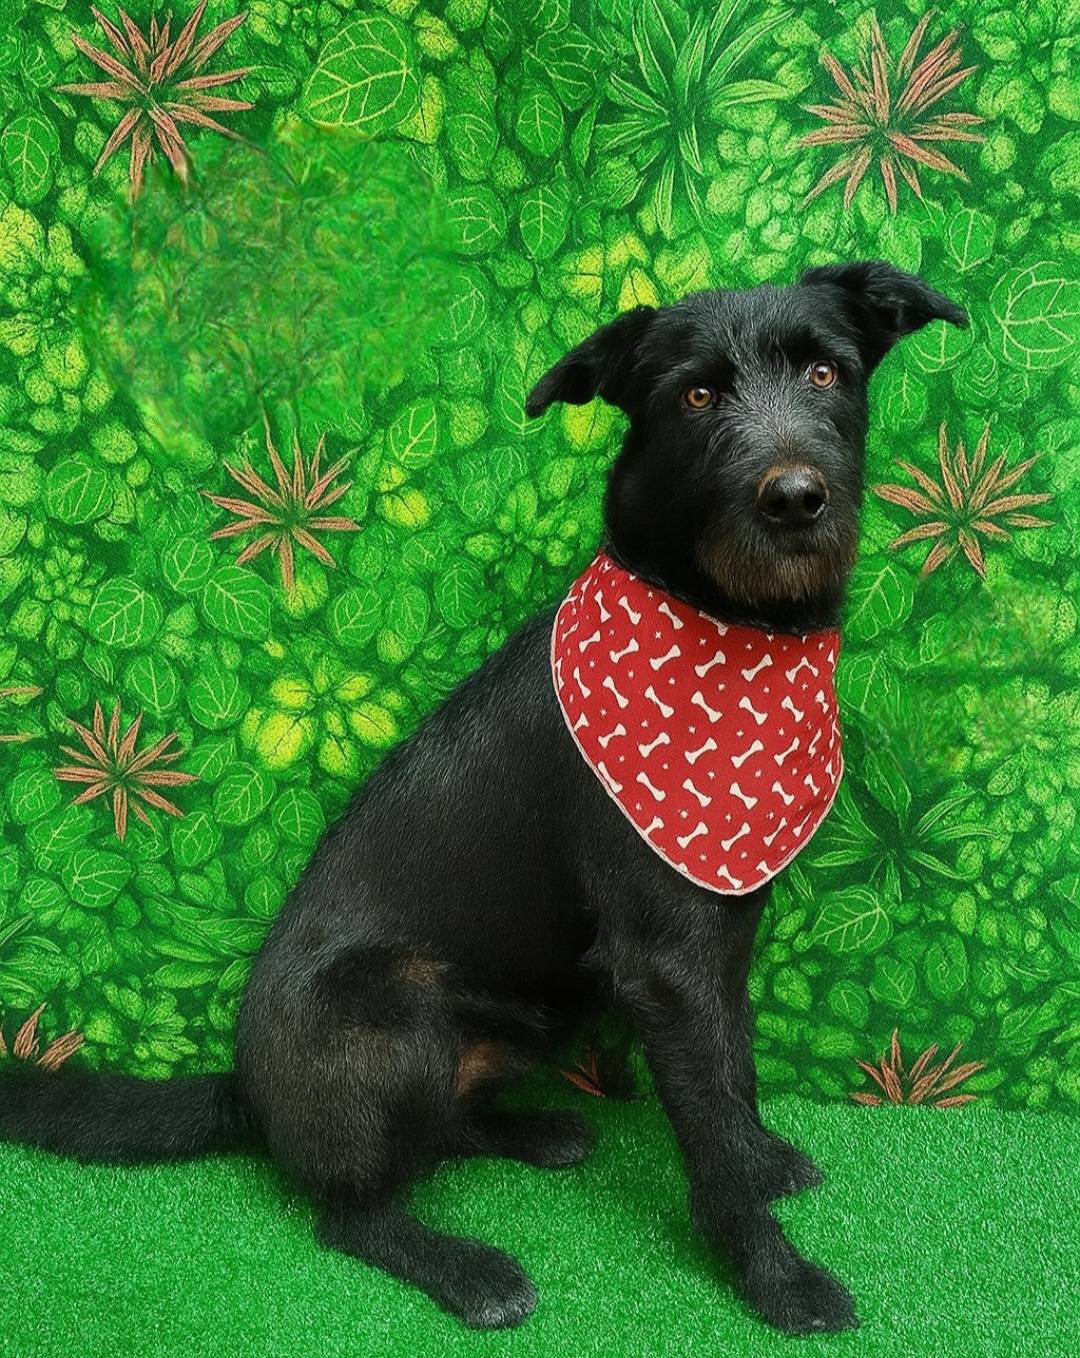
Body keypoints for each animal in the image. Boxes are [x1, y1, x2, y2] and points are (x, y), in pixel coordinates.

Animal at [0, 261, 966, 1335]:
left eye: (827, 372)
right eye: (697, 398)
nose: (795, 498)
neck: (729, 626)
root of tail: (247, 1092)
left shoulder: (725, 932)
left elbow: (738, 1068)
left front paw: (764, 1157)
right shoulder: (666, 962)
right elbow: (709, 1130)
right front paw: (774, 1272)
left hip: (538, 1009)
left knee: (446, 1129)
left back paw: (537, 1130)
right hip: (396, 1011)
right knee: (351, 1212)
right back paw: (466, 1268)